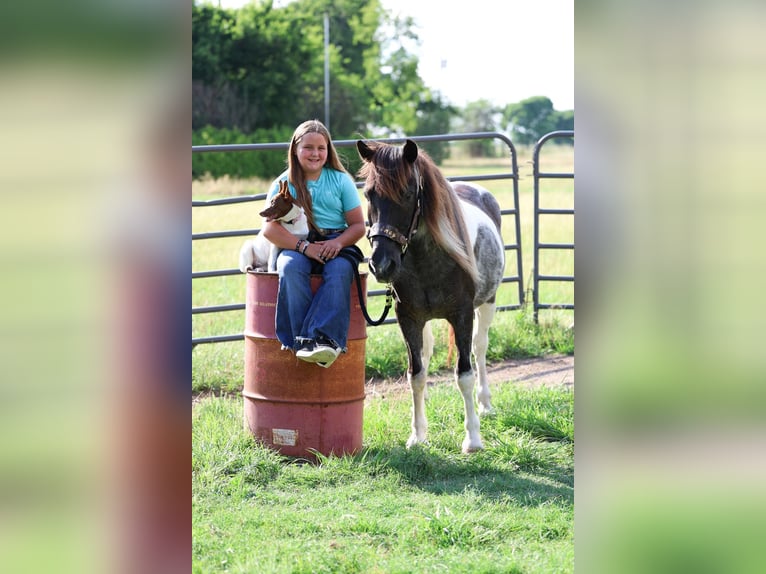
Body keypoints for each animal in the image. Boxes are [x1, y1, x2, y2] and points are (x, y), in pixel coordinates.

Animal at [356, 139, 505, 453]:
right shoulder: (408, 318)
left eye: (407, 193)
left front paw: (473, 439)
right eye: (368, 193)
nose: (381, 264)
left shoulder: (462, 315)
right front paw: (417, 435)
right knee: (426, 356)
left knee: (480, 349)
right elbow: (416, 374)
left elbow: (464, 374)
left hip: (488, 303)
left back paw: (485, 405)